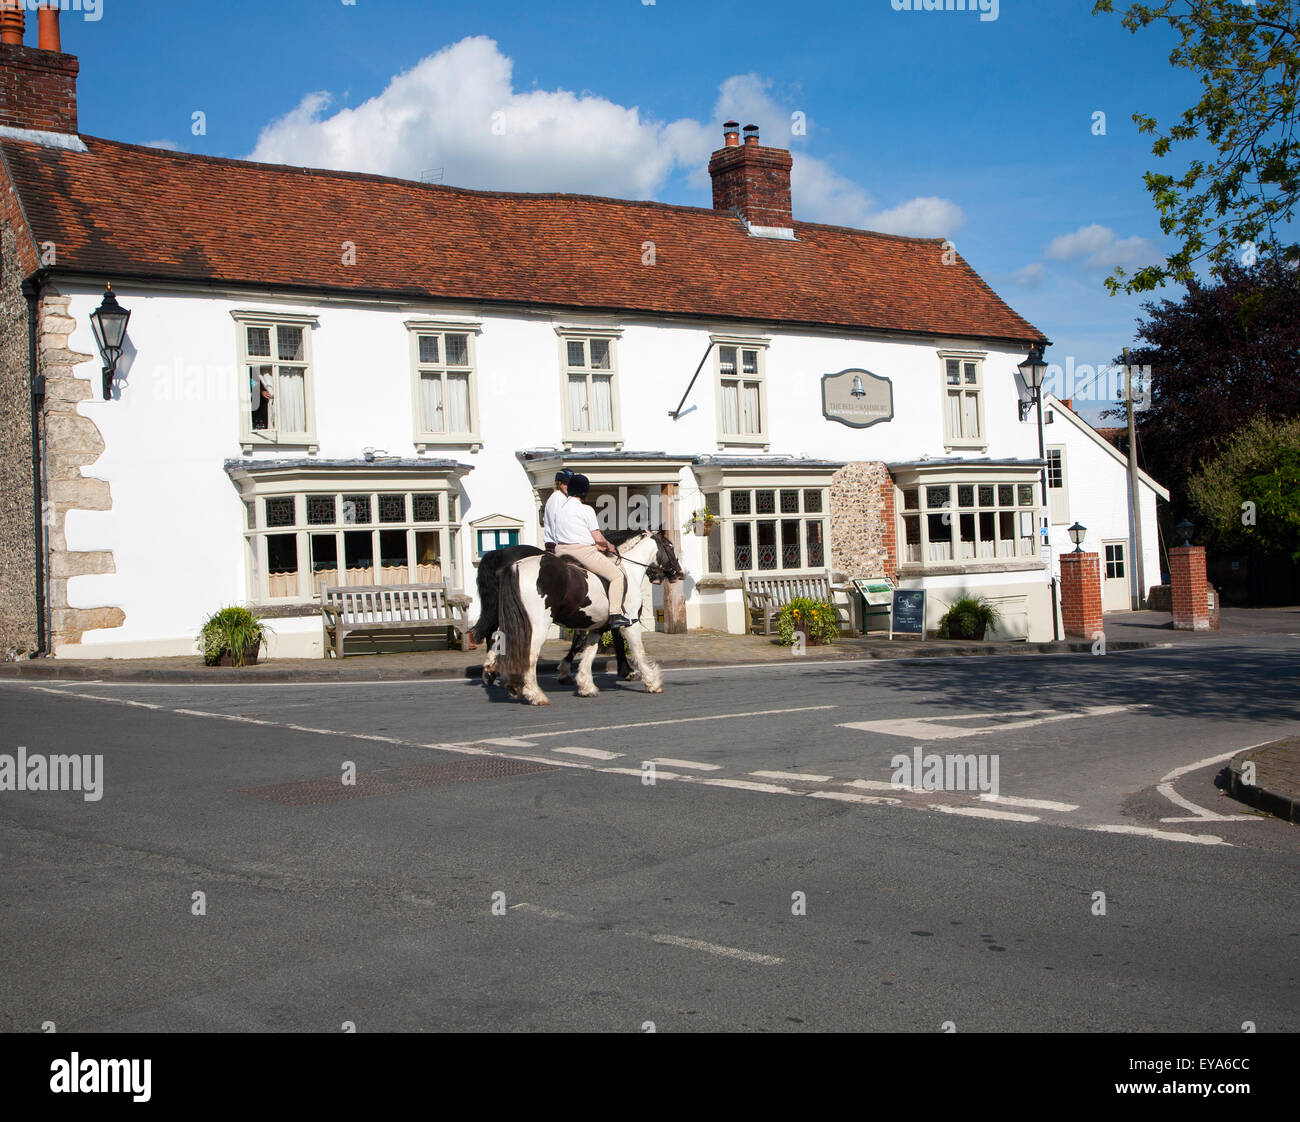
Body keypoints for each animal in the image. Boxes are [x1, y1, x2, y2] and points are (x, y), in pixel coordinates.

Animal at [491, 530, 686, 707]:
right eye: (670, 546)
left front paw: (586, 686)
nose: (680, 573)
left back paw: (498, 676)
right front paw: (652, 682)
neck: (628, 571)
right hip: (537, 626)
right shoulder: (630, 624)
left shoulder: (597, 627)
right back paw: (535, 695)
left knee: (502, 643)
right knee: (529, 655)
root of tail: (516, 566)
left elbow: (589, 653)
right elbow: (638, 651)